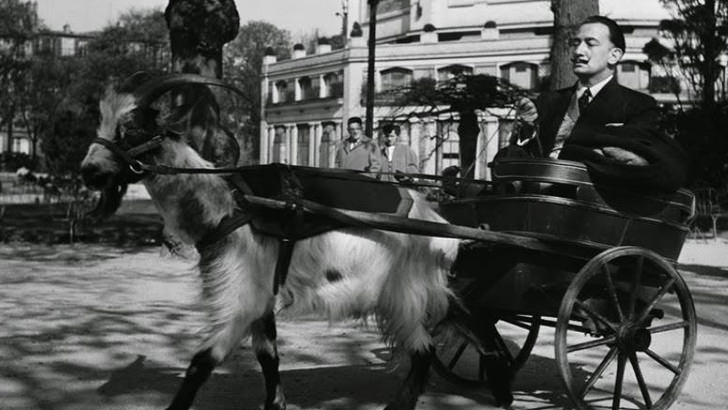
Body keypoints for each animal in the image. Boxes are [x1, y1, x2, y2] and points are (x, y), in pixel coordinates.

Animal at [79, 73, 464, 410]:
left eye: (132, 128)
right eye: (102, 124)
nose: (88, 172)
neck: (228, 205)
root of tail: (439, 224)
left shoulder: (243, 294)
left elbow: (201, 362)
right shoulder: (262, 296)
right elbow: (268, 356)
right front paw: (275, 402)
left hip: (405, 293)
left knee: (424, 351)